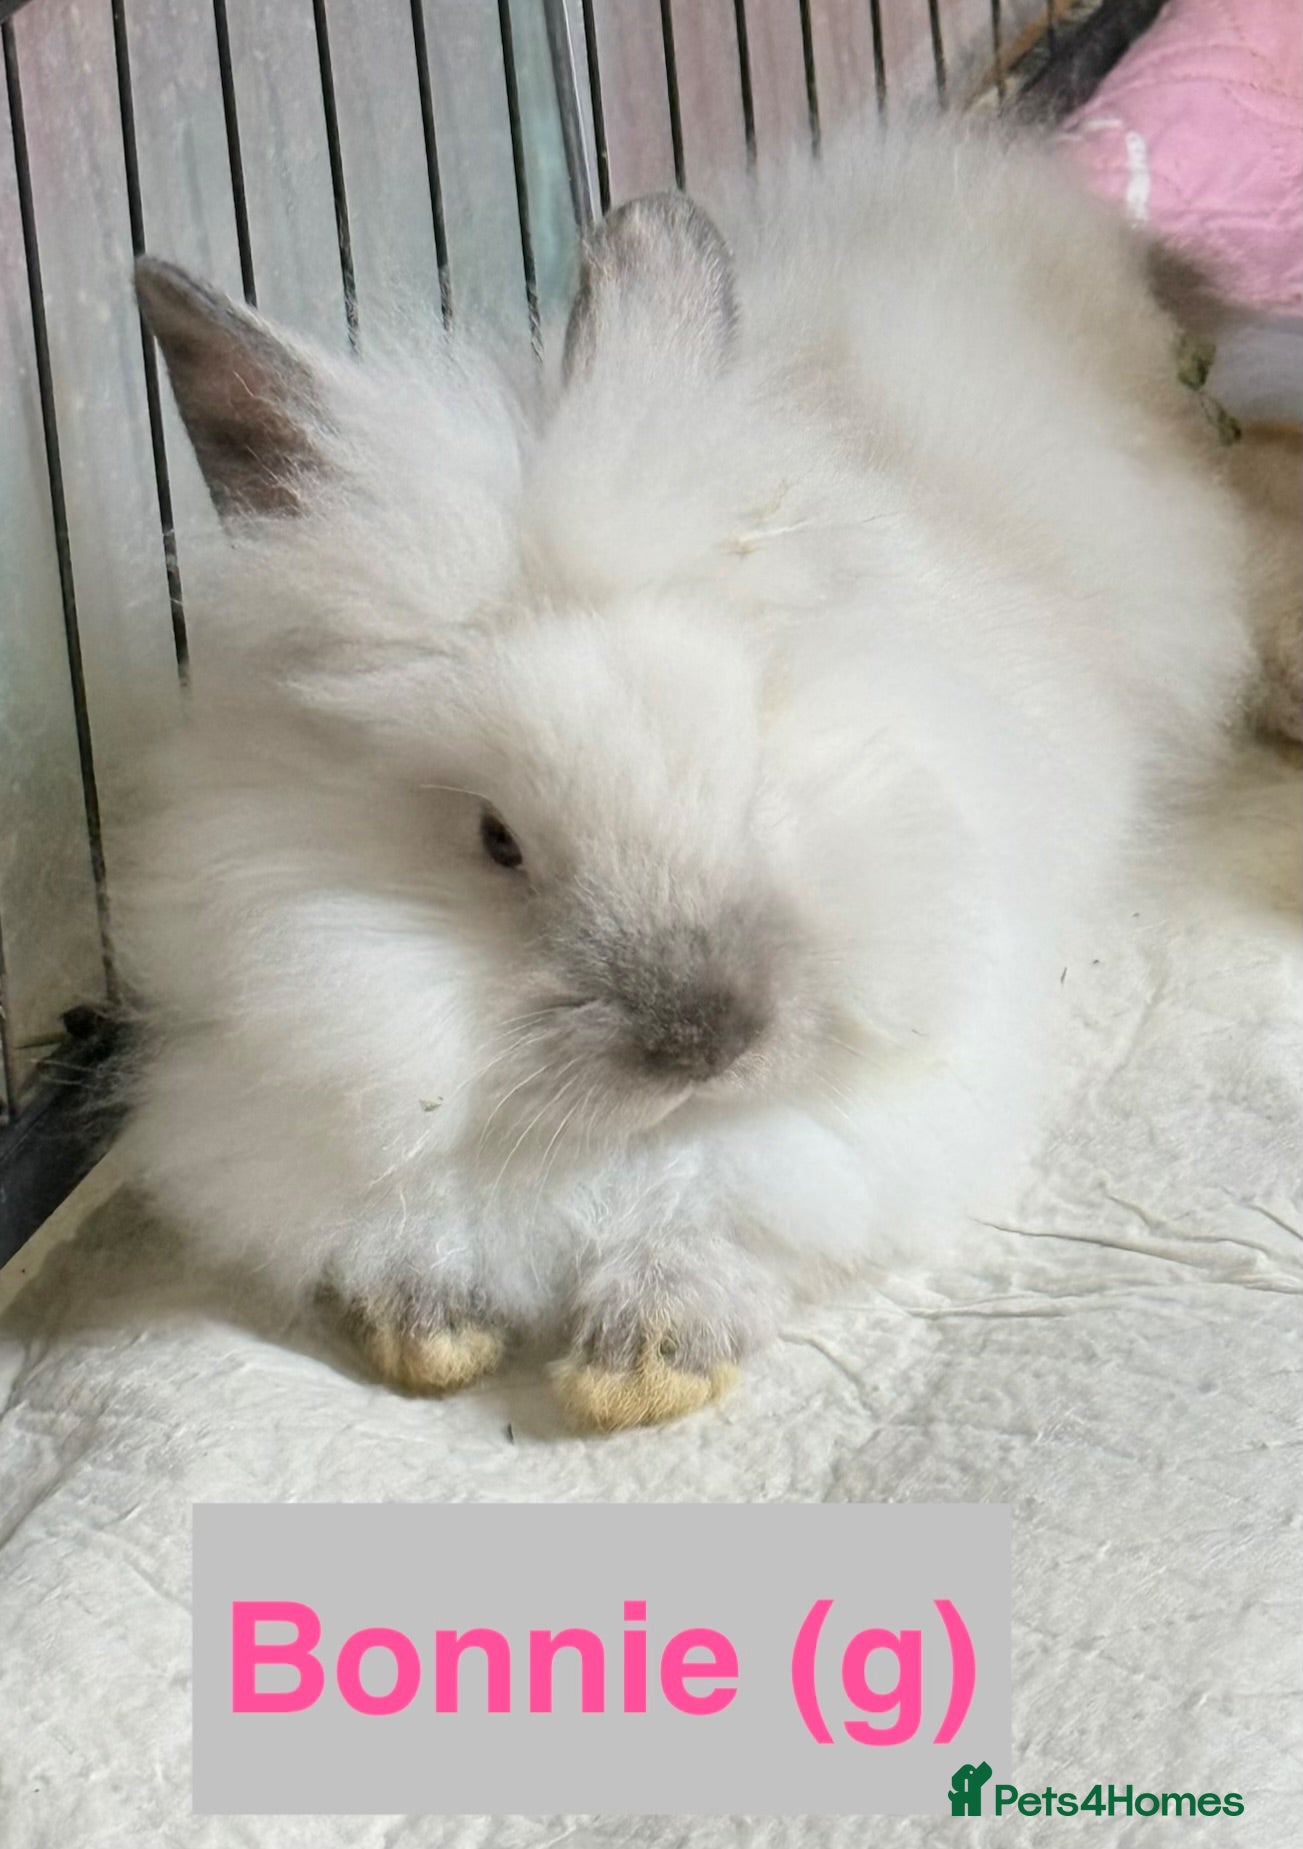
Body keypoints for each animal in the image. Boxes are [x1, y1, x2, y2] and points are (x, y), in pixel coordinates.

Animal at [122, 118, 1286, 1432]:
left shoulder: (879, 1111)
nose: (706, 1039)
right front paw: (430, 1335)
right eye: (495, 839)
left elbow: (729, 1206)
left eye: (748, 765)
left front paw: (644, 1361)